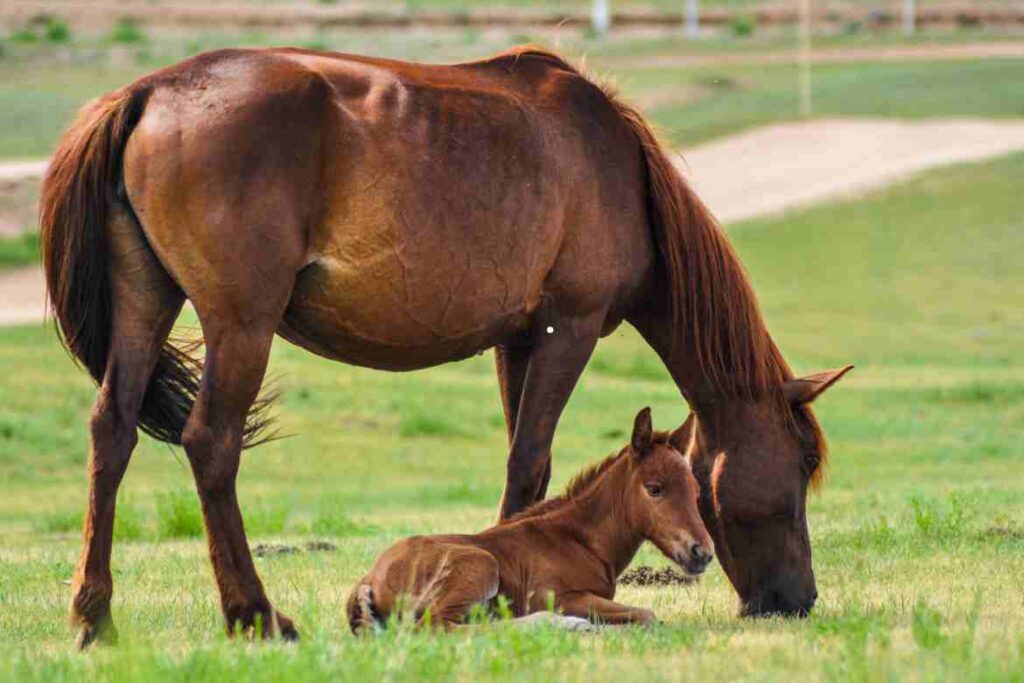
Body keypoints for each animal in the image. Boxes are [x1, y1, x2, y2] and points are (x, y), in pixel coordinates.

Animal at [344, 409, 712, 634]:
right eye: (654, 489)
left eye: (695, 490)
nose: (702, 553)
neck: (580, 540)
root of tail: (369, 578)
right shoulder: (558, 596)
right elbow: (648, 615)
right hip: (480, 565)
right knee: (440, 627)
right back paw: (562, 625)